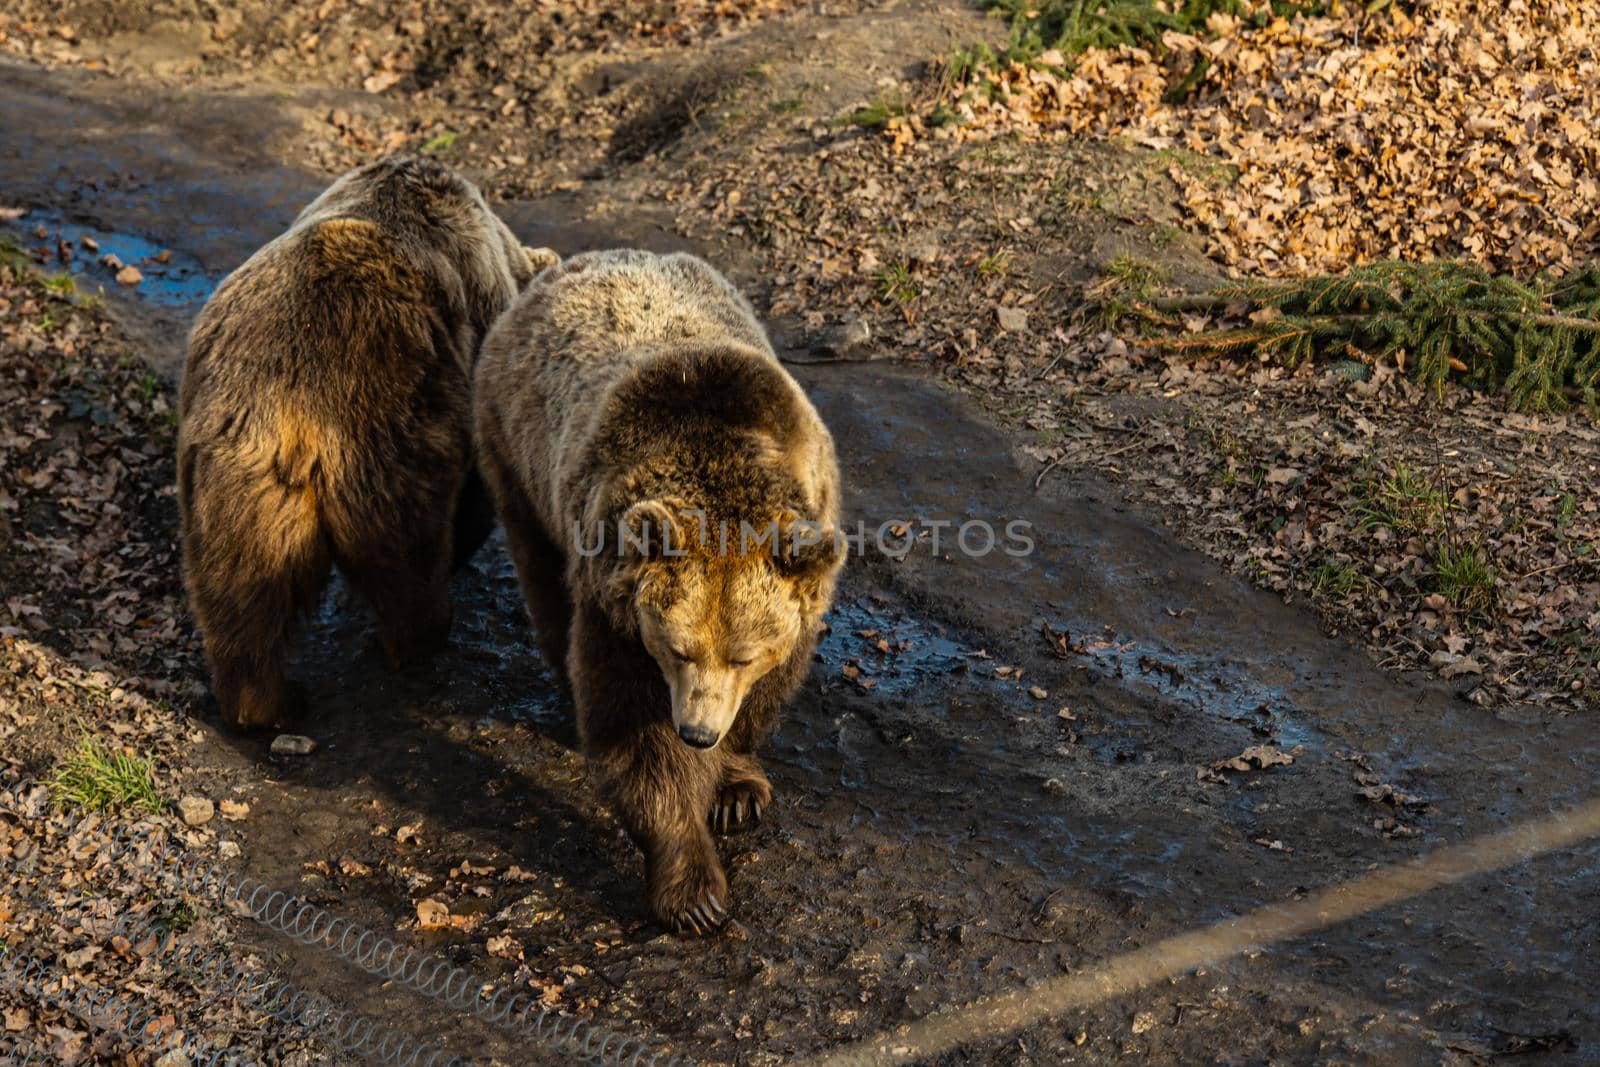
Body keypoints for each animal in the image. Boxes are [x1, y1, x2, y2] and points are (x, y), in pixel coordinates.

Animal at [182, 154, 550, 729]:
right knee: (408, 555)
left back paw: (263, 703)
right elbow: (474, 497)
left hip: (234, 476)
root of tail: (296, 412)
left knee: (241, 591)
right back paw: (418, 636)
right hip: (391, 435)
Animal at [473, 251, 844, 934]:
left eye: (744, 655)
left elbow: (767, 694)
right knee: (541, 573)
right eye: (677, 649)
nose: (697, 731)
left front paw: (735, 788)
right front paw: (696, 895)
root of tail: (563, 265)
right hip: (515, 446)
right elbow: (637, 737)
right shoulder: (614, 596)